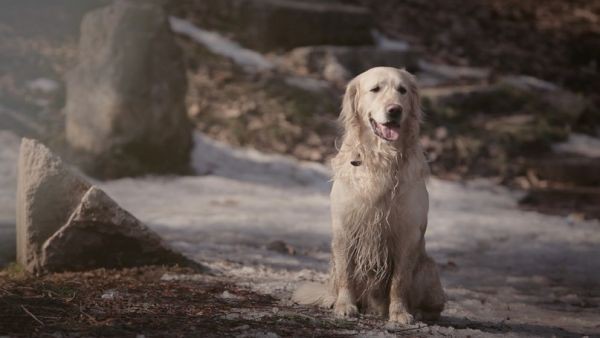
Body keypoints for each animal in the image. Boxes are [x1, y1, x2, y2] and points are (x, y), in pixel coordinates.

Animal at [292, 66, 442, 324]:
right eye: (375, 89)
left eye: (402, 90)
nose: (395, 110)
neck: (381, 158)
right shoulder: (345, 227)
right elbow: (347, 274)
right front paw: (344, 305)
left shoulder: (408, 232)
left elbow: (399, 280)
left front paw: (399, 313)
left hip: (430, 272)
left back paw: (417, 312)